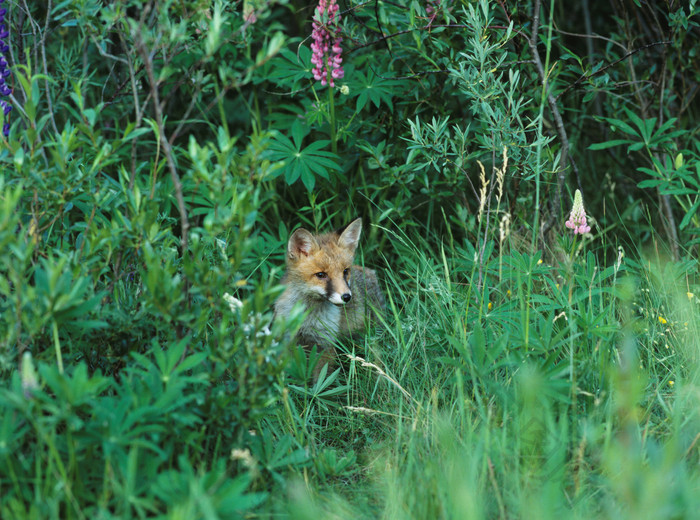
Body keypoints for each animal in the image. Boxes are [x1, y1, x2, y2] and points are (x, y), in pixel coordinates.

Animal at [274, 217, 386, 372]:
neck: (308, 317)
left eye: (345, 271)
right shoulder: (287, 340)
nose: (347, 297)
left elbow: (322, 376)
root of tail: (371, 273)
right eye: (321, 275)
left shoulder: (325, 343)